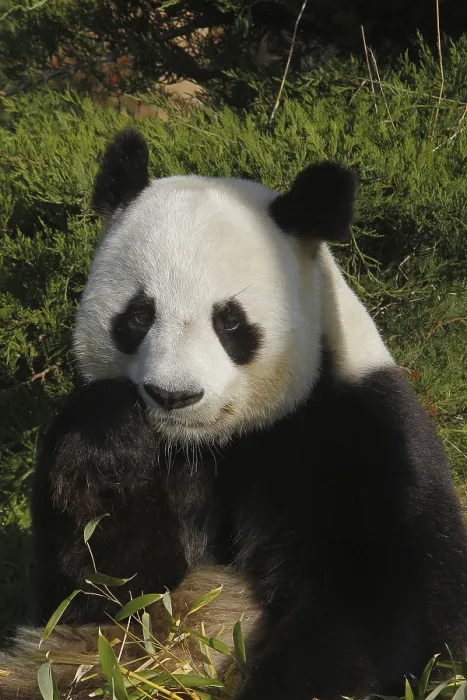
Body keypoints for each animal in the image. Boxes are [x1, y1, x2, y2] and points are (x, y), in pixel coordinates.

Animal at [1, 127, 467, 700]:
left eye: (230, 322)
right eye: (137, 316)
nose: (174, 396)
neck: (212, 442)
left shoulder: (352, 432)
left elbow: (377, 599)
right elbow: (109, 593)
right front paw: (109, 450)